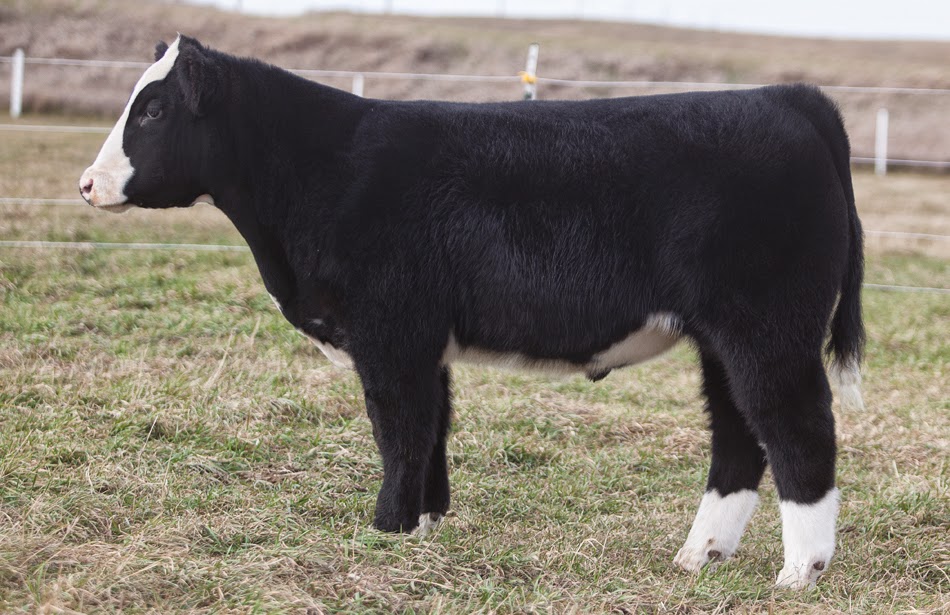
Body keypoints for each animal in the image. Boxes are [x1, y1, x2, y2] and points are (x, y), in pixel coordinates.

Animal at [79, 35, 865, 589]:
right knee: (739, 436)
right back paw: (698, 555)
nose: (87, 183)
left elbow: (398, 429)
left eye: (153, 109)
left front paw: (384, 532)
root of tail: (786, 97)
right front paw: (424, 527)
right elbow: (430, 431)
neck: (322, 170)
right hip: (721, 340)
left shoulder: (390, 335)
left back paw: (799, 571)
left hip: (767, 330)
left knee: (797, 429)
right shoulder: (424, 340)